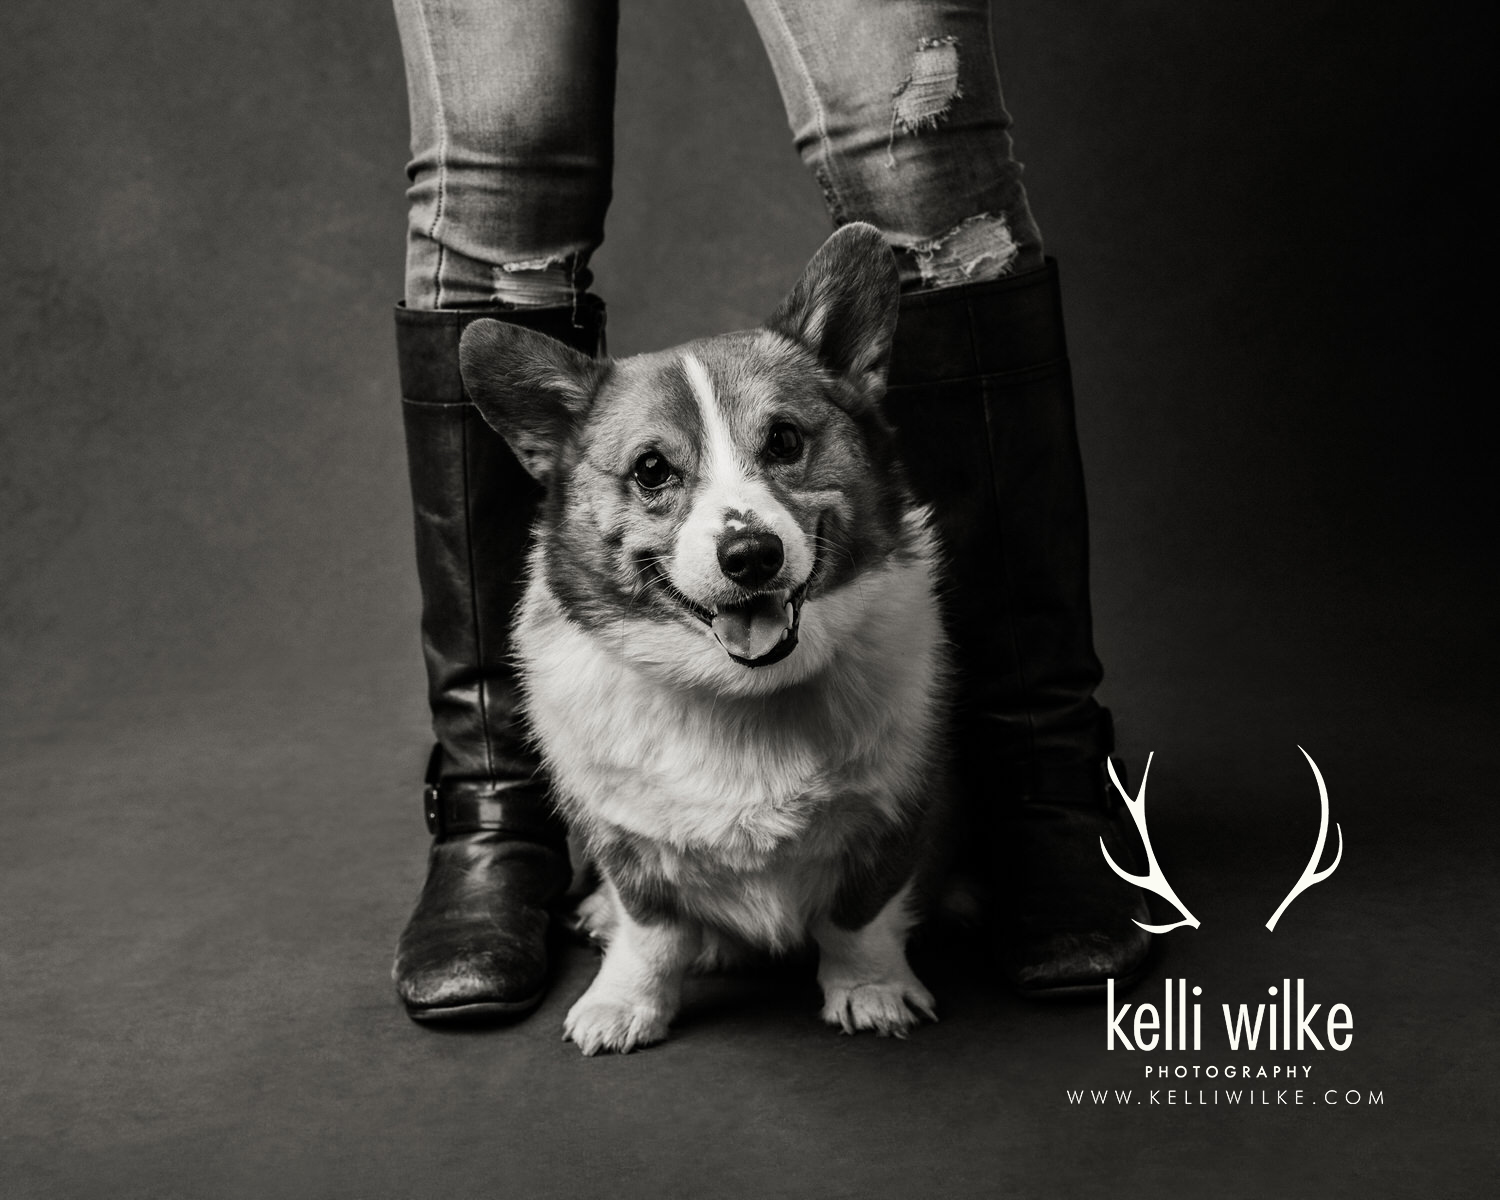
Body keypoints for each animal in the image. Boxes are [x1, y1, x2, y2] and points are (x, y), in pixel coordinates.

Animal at [456, 222, 948, 1050]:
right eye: (652, 469)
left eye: (784, 440)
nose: (751, 556)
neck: (741, 692)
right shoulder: (625, 839)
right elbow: (651, 931)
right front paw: (625, 1003)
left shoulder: (897, 808)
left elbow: (859, 917)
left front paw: (871, 989)